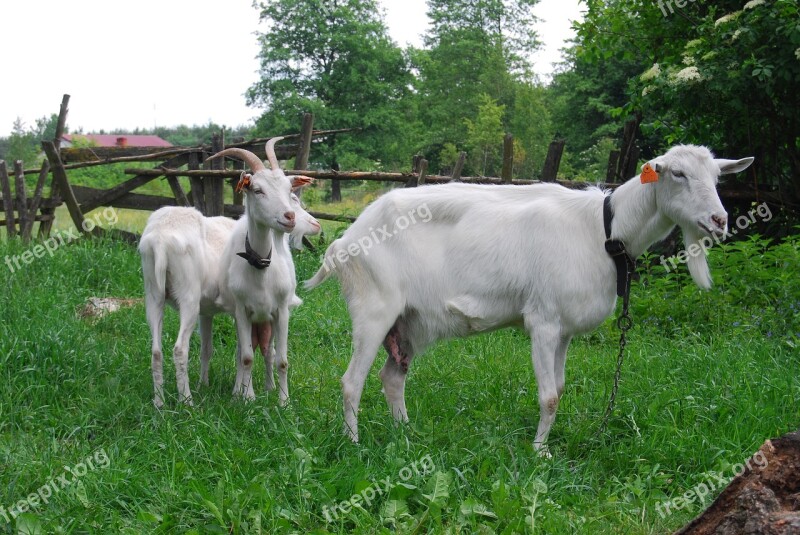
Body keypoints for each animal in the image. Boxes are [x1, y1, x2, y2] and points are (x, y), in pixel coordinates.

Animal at [141, 138, 318, 406]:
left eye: (290, 189)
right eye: (258, 190)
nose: (290, 217)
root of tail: (160, 239)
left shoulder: (247, 311)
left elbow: (226, 351)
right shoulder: (246, 309)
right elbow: (247, 354)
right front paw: (249, 396)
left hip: (154, 294)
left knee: (156, 351)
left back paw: (160, 403)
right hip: (188, 296)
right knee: (180, 349)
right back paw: (187, 402)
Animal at [304, 144, 752, 450]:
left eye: (717, 177)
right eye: (677, 173)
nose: (719, 220)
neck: (604, 229)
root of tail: (345, 240)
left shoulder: (565, 330)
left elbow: (561, 388)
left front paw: (543, 447)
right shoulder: (543, 321)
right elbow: (549, 396)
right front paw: (539, 454)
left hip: (410, 322)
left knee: (392, 377)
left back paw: (406, 434)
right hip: (374, 309)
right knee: (351, 382)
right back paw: (354, 443)